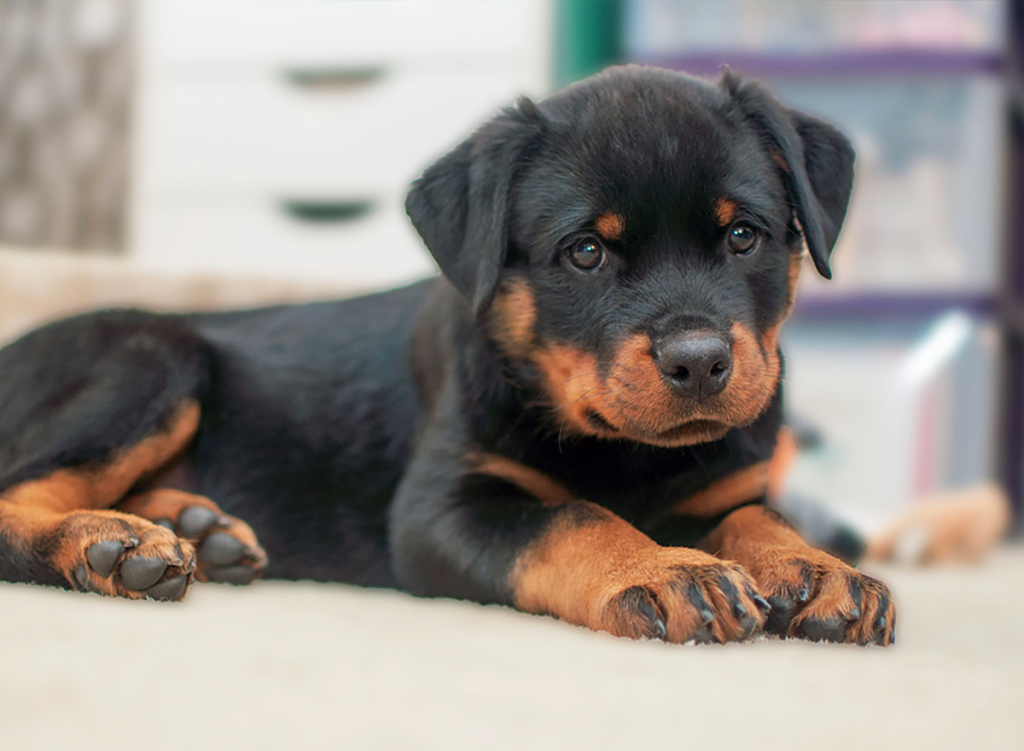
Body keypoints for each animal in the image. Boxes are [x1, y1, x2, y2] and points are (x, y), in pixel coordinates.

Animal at [0, 66, 897, 643]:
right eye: (585, 252)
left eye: (743, 234)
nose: (701, 360)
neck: (632, 456)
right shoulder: (442, 508)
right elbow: (570, 517)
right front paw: (664, 568)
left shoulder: (729, 482)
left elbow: (758, 512)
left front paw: (816, 568)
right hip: (151, 357)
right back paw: (111, 544)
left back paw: (195, 526)